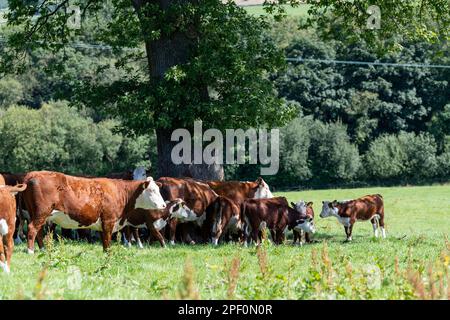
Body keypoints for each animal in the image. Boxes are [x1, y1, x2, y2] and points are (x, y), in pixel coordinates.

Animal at [21, 170, 165, 252]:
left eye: (158, 190)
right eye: (152, 190)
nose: (164, 205)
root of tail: (32, 174)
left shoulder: (102, 223)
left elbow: (104, 243)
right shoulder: (108, 221)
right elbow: (108, 242)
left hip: (36, 213)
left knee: (38, 231)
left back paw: (42, 250)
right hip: (41, 213)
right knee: (32, 229)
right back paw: (30, 251)